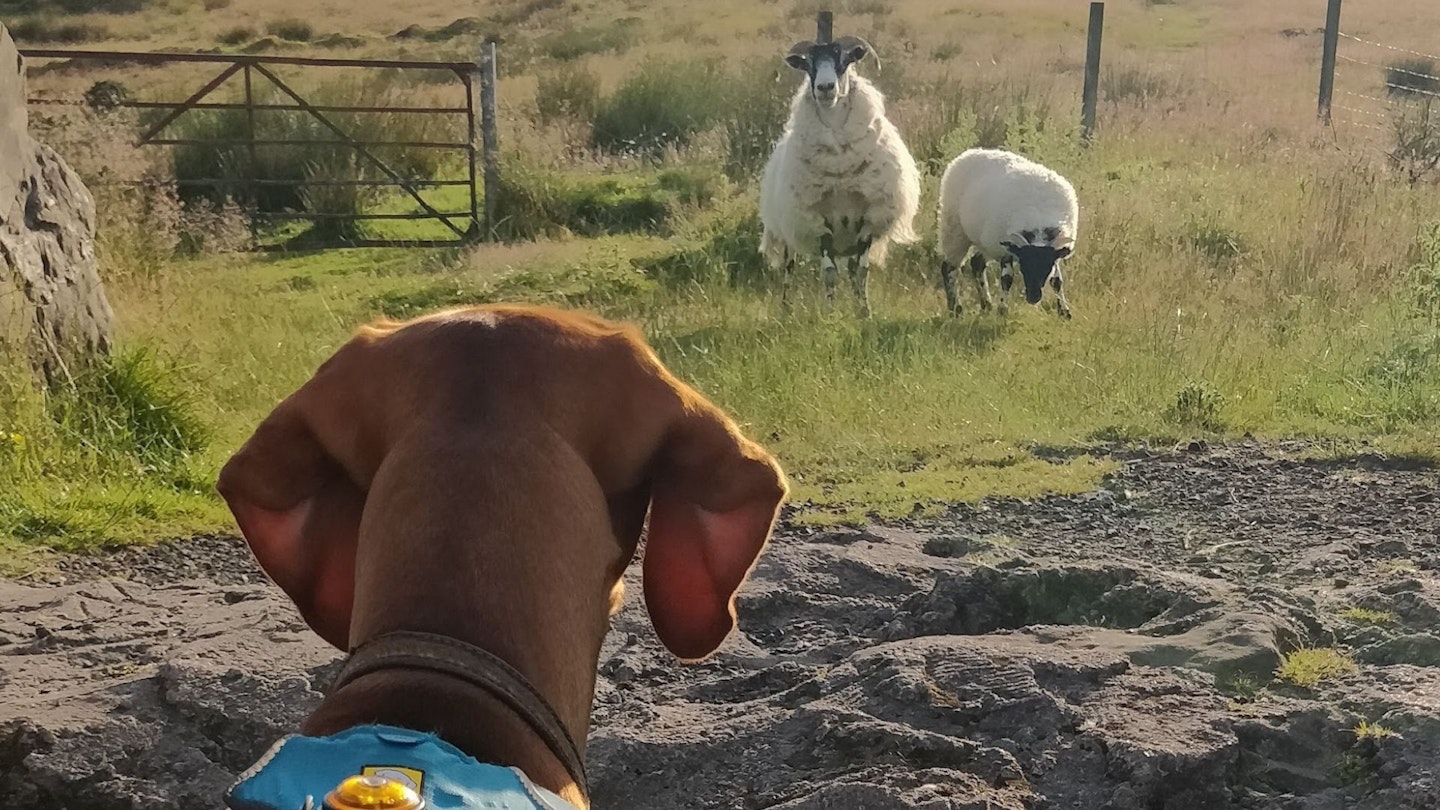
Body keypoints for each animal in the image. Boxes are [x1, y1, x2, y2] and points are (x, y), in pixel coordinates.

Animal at [754, 36, 921, 317]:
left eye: (844, 60)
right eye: (808, 64)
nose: (825, 87)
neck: (840, 163)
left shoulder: (868, 221)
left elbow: (861, 272)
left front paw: (864, 312)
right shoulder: (819, 223)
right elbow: (829, 273)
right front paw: (830, 314)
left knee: (851, 269)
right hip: (789, 229)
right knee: (789, 269)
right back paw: (786, 310)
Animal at [933, 148, 1082, 318]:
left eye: (1045, 268)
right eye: (1024, 267)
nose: (1033, 298)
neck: (1038, 221)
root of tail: (970, 152)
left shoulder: (1053, 253)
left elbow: (1056, 281)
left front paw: (1064, 312)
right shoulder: (1006, 248)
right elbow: (1007, 278)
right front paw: (1002, 310)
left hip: (983, 239)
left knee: (977, 264)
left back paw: (986, 304)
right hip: (954, 230)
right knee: (949, 268)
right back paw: (956, 308)